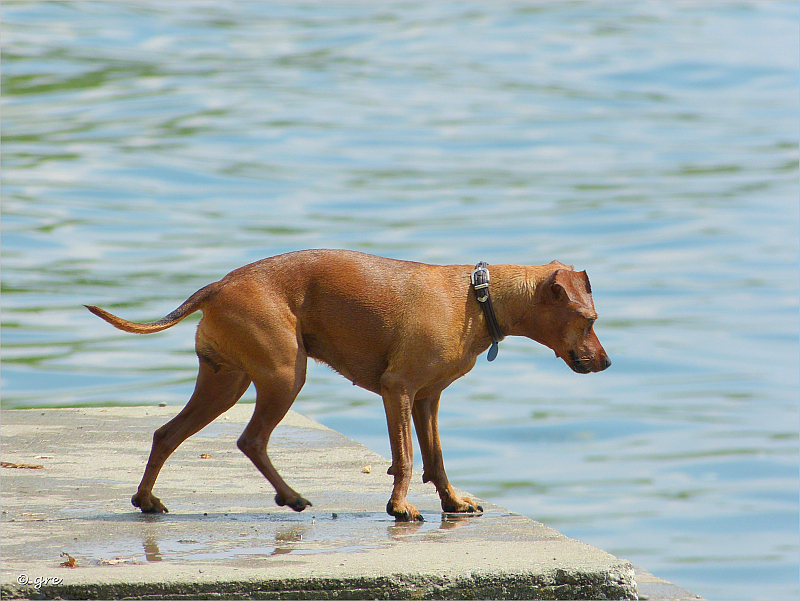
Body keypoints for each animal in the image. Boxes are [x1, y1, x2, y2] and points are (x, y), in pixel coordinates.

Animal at [87, 248, 608, 520]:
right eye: (588, 321)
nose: (606, 363)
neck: (478, 298)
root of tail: (218, 285)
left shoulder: (428, 399)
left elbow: (436, 458)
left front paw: (452, 501)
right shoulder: (399, 391)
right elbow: (406, 458)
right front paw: (400, 506)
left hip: (224, 382)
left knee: (166, 434)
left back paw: (147, 500)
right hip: (284, 375)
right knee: (251, 439)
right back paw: (291, 496)